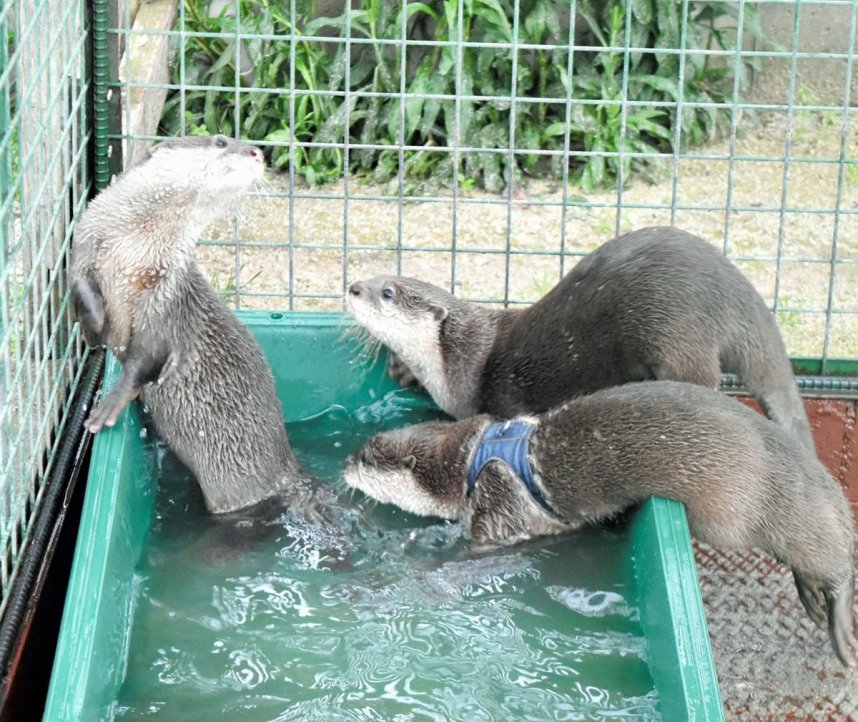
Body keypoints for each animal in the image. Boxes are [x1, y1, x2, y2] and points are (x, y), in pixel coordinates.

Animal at [71, 135, 308, 516]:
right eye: (222, 140)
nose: (257, 152)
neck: (133, 251)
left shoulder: (165, 300)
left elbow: (144, 359)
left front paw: (109, 405)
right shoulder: (87, 241)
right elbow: (79, 283)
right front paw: (93, 326)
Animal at [342, 380, 856, 668]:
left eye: (368, 456)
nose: (344, 464)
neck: (475, 457)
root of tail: (817, 476)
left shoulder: (501, 508)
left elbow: (475, 552)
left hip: (771, 512)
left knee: (835, 563)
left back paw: (838, 627)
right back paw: (809, 598)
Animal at [344, 225, 812, 450]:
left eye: (387, 292)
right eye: (376, 277)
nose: (353, 287)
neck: (460, 362)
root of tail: (735, 295)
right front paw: (402, 369)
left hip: (679, 333)